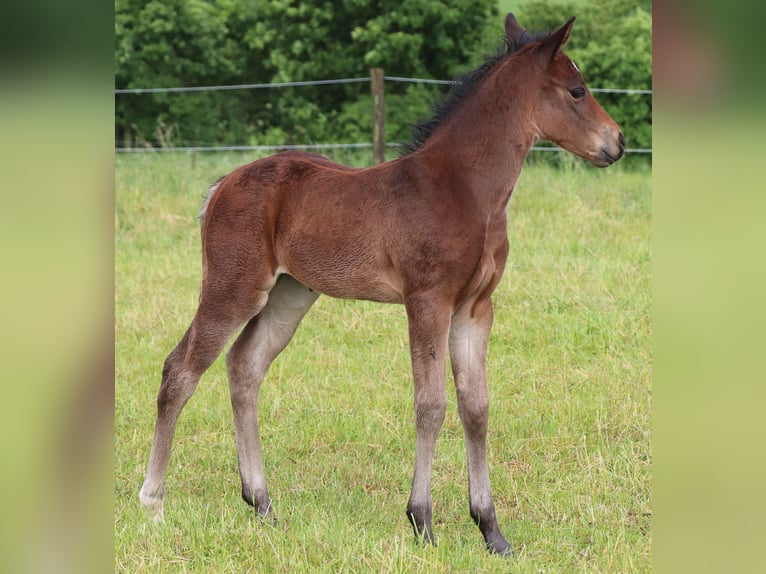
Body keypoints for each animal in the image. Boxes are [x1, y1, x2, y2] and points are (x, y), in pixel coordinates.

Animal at [139, 13, 624, 556]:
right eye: (577, 90)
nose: (618, 142)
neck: (464, 189)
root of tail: (222, 184)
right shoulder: (427, 300)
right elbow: (431, 403)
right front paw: (422, 521)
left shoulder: (476, 308)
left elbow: (476, 407)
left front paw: (492, 531)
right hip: (233, 286)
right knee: (180, 370)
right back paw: (153, 502)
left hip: (289, 294)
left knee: (245, 366)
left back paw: (262, 505)